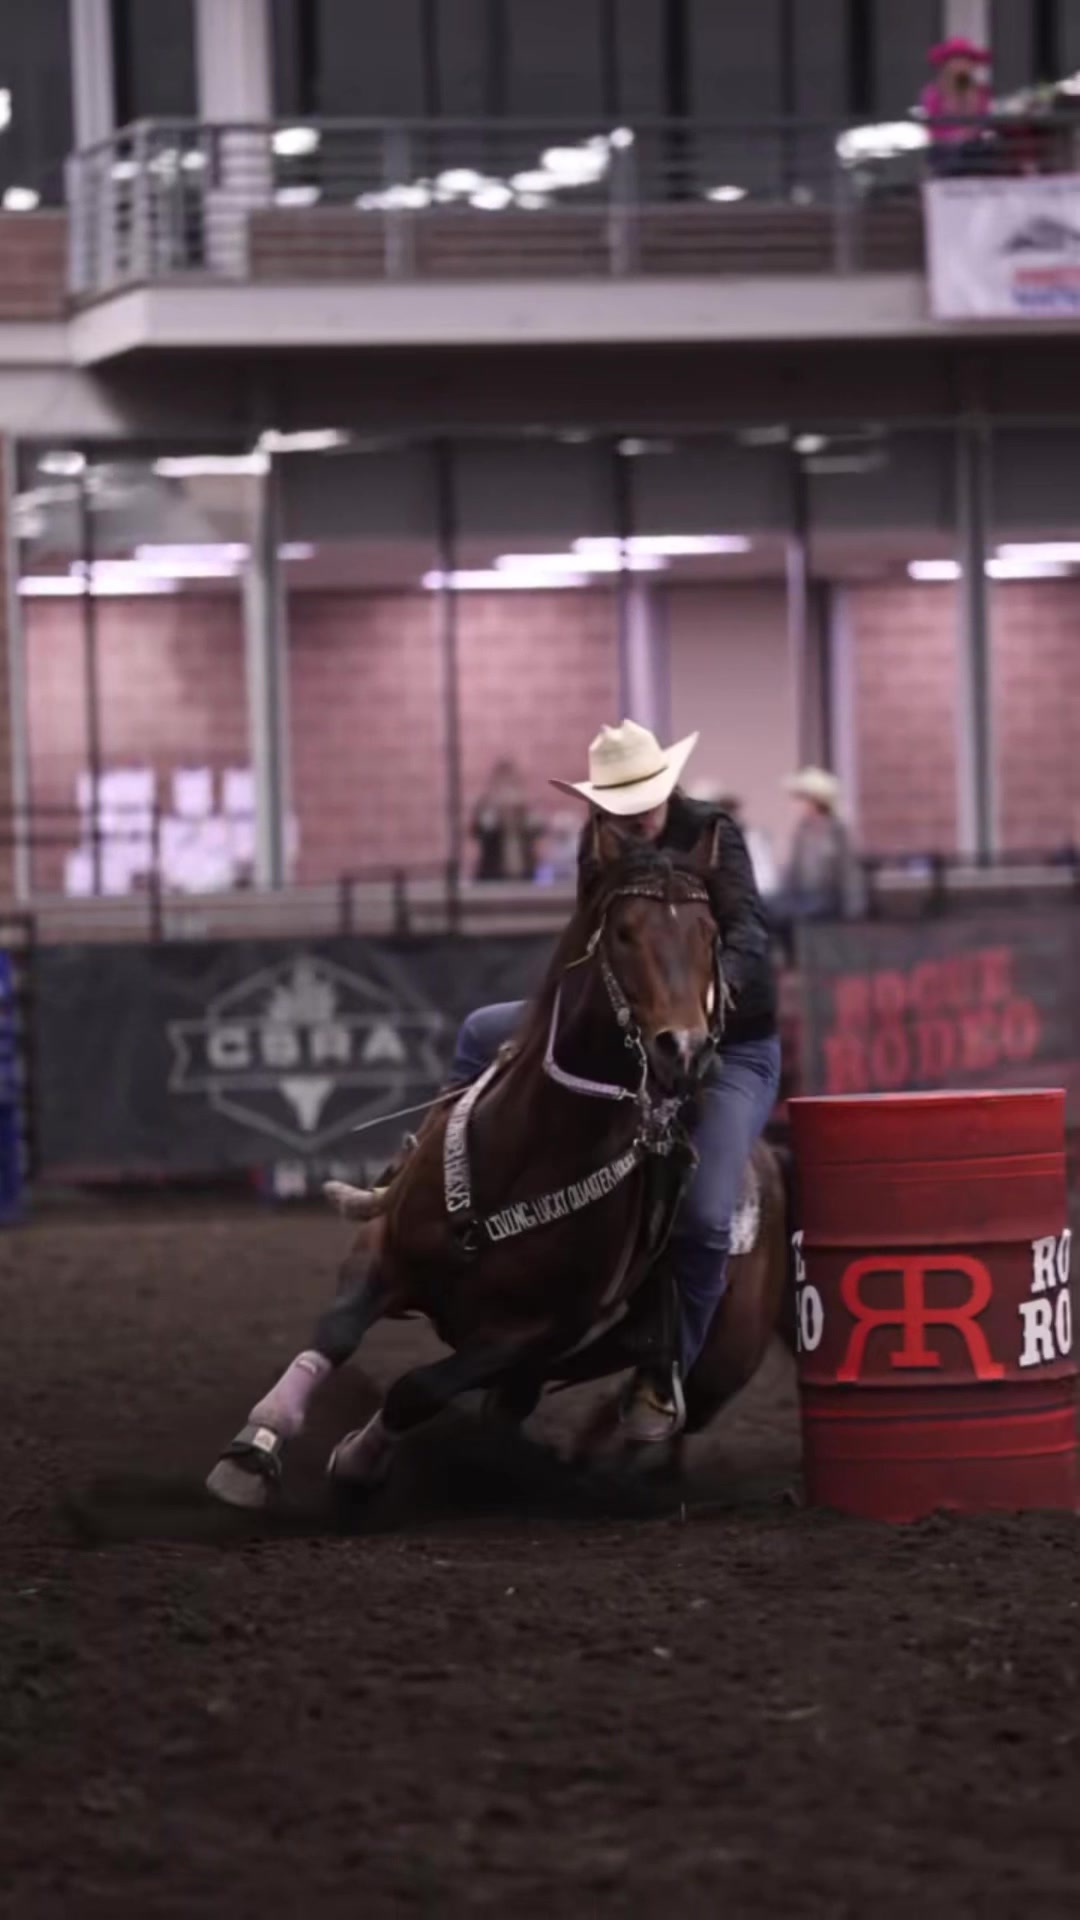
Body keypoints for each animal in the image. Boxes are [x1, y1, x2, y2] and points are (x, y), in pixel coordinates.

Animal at [206, 826, 791, 1509]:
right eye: (623, 932)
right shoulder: (382, 1250)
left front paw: (356, 1462)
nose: (686, 1049)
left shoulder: (527, 1335)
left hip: (715, 1371)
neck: (529, 1151)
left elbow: (417, 1389)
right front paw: (253, 1450)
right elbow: (338, 1329)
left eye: (710, 935)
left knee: (650, 1410)